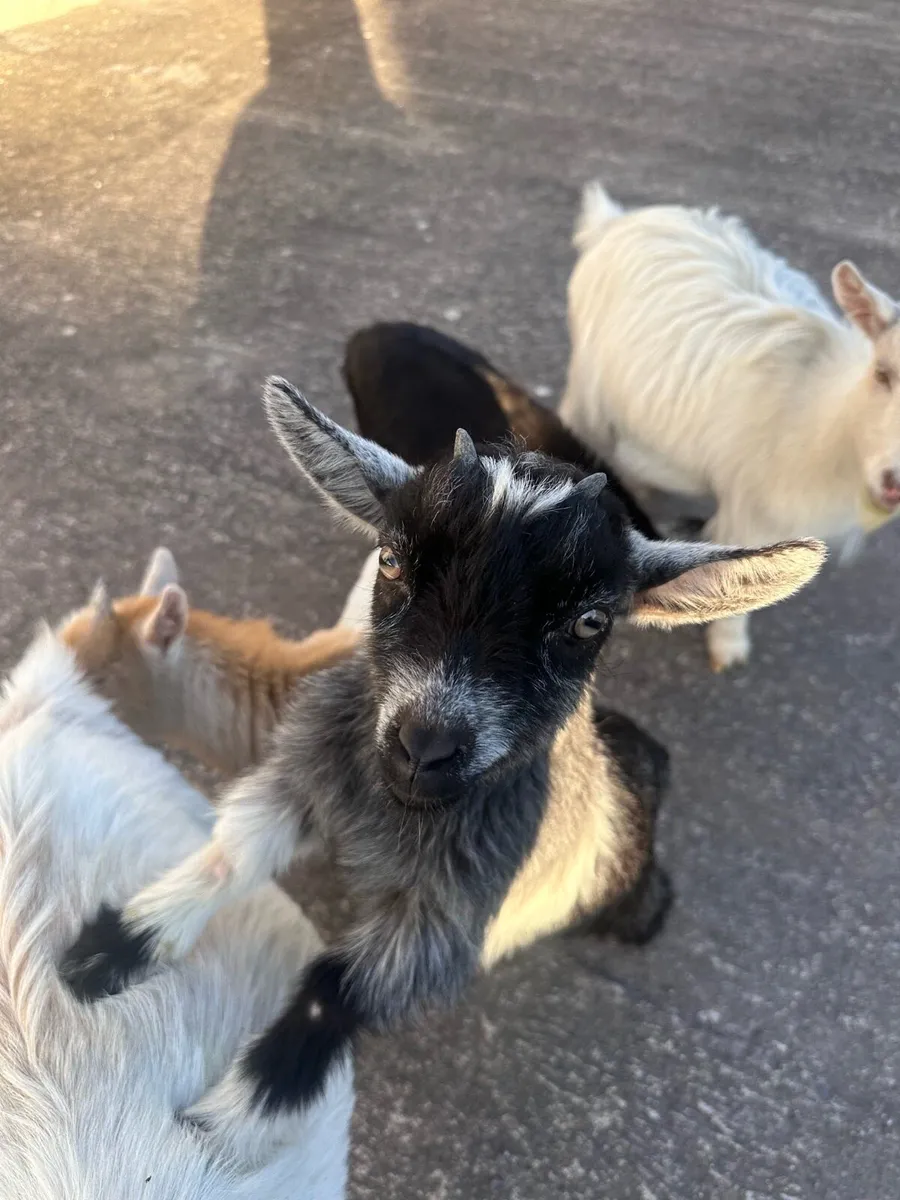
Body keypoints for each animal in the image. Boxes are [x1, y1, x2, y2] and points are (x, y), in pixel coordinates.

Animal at [560, 181, 900, 671]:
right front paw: (729, 647)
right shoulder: (751, 508)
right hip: (588, 391)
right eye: (883, 373)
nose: (893, 483)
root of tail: (615, 219)